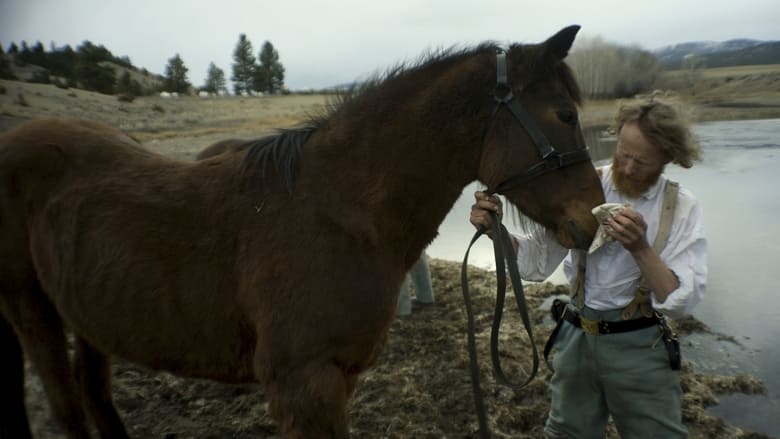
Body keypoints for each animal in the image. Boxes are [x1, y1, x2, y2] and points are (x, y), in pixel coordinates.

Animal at [0, 25, 604, 438]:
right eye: (565, 115)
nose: (592, 219)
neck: (334, 211)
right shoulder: (302, 385)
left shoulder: (338, 378)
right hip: (32, 311)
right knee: (67, 406)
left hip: (88, 313)